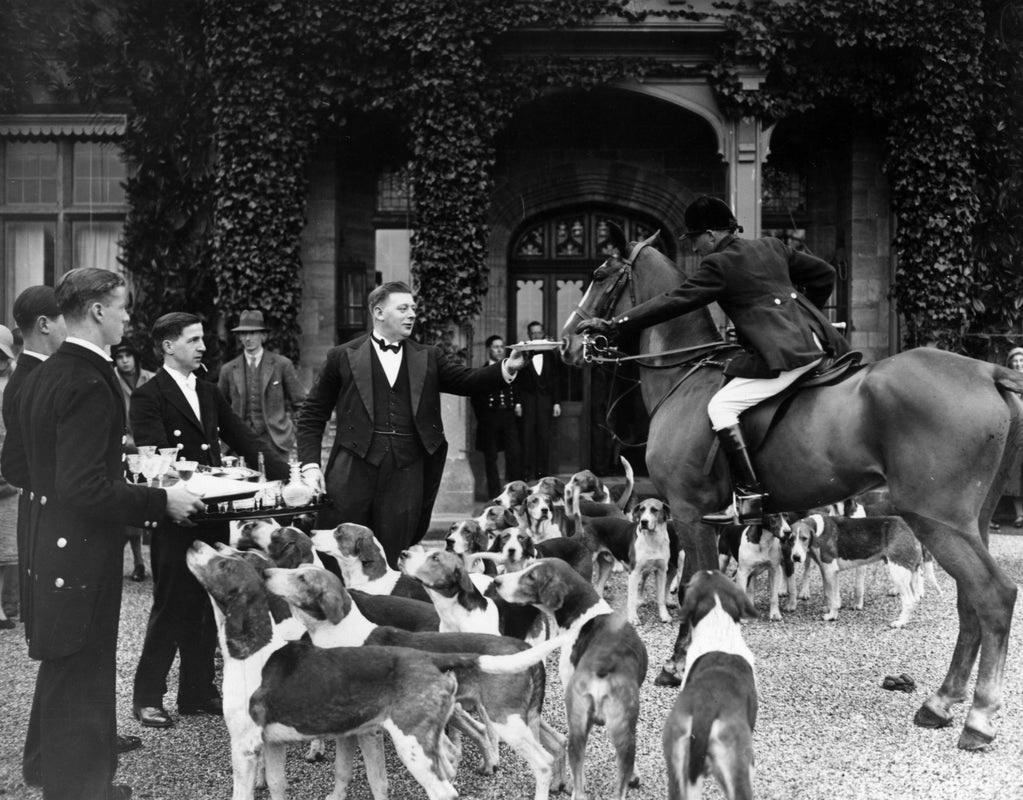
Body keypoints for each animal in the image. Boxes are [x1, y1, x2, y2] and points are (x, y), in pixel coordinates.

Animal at [560, 224, 1023, 752]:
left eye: (599, 274)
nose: (568, 343)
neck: (686, 377)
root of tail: (986, 369)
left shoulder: (689, 511)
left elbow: (697, 583)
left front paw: (678, 665)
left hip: (937, 519)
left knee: (993, 595)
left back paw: (978, 718)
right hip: (969, 522)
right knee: (971, 600)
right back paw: (941, 703)